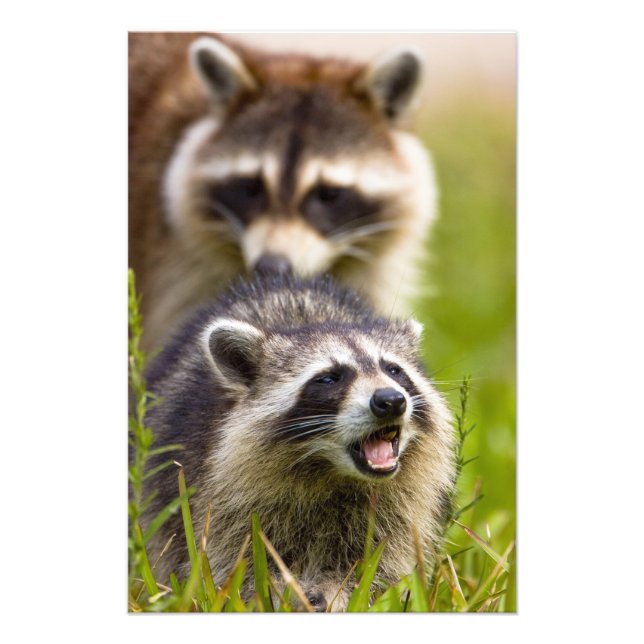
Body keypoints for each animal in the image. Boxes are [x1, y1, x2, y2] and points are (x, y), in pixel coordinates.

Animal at [143, 274, 454, 611]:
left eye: (393, 370)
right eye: (329, 378)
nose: (391, 401)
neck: (331, 473)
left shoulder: (399, 507)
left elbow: (383, 561)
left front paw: (340, 592)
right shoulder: (219, 495)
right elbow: (231, 564)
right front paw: (279, 592)